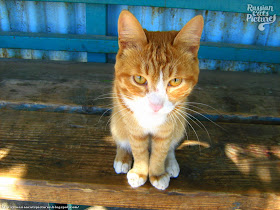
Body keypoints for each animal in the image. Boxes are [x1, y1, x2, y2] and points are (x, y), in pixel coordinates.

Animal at [110, 9, 205, 190]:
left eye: (175, 81)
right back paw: (122, 157)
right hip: (117, 121)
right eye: (139, 79)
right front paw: (140, 172)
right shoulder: (134, 127)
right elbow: (138, 150)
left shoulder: (167, 128)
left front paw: (157, 174)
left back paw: (171, 163)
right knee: (121, 138)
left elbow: (160, 151)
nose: (156, 106)